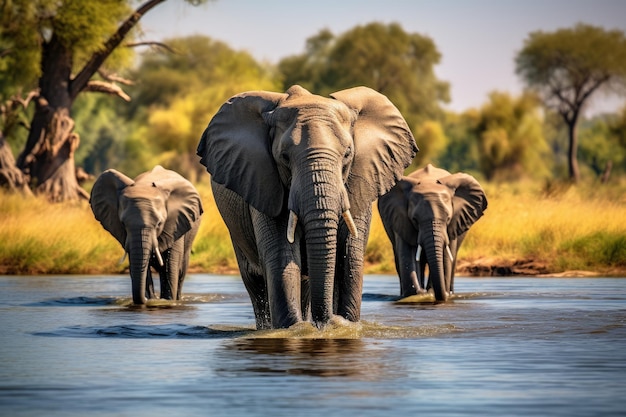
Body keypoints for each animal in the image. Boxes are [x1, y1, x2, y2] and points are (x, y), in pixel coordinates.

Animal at [89, 164, 202, 304]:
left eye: (159, 223)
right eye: (123, 223)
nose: (144, 300)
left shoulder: (176, 223)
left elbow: (170, 267)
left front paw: (167, 301)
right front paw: (151, 299)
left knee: (181, 271)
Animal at [197, 83, 416, 328]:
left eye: (347, 154)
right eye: (284, 157)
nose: (324, 322)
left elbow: (349, 255)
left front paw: (345, 326)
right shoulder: (264, 183)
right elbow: (281, 255)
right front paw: (297, 330)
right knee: (255, 283)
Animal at [376, 164, 488, 300]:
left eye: (448, 218)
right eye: (414, 220)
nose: (422, 291)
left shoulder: (454, 224)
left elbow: (446, 257)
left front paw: (431, 292)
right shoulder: (400, 219)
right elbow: (407, 253)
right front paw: (416, 293)